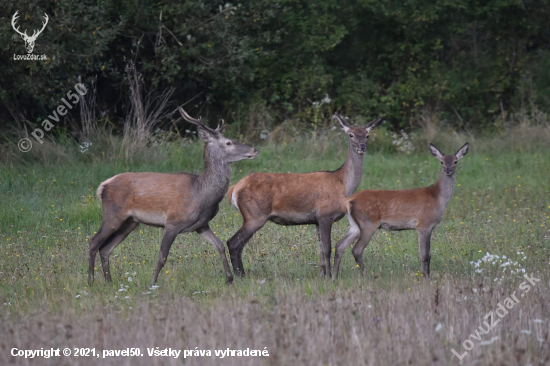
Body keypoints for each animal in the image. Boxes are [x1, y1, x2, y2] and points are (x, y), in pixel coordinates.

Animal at [89, 107, 260, 284]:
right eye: (228, 142)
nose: (255, 150)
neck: (201, 194)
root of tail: (103, 186)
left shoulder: (201, 224)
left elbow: (219, 245)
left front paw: (229, 278)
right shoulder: (173, 222)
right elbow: (162, 257)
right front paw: (152, 284)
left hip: (130, 222)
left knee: (106, 249)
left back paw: (108, 282)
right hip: (113, 215)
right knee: (93, 243)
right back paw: (91, 281)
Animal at [226, 113, 386, 278]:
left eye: (367, 135)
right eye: (351, 134)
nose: (362, 146)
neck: (343, 185)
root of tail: (234, 188)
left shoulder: (316, 221)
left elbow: (321, 250)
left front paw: (322, 275)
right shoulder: (325, 215)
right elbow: (327, 248)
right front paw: (328, 277)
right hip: (254, 215)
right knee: (233, 242)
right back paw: (239, 275)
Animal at [332, 142, 470, 278]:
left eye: (455, 161)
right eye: (441, 161)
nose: (448, 170)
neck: (437, 198)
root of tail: (348, 200)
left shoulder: (428, 227)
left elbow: (427, 255)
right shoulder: (424, 224)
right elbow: (425, 255)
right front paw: (425, 277)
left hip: (355, 225)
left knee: (340, 245)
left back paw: (334, 277)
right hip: (368, 223)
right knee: (356, 249)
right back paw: (366, 276)